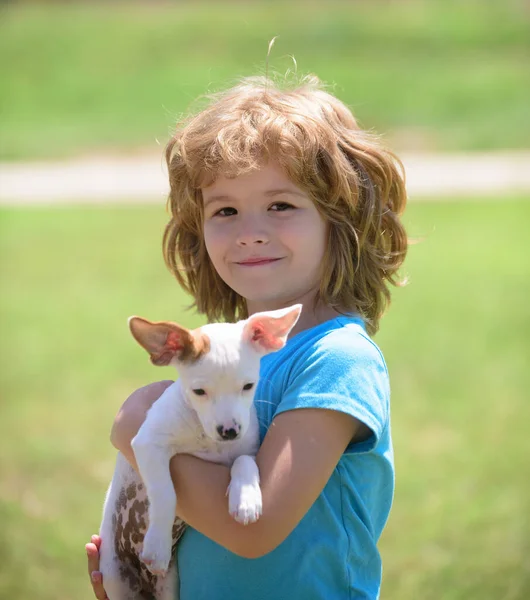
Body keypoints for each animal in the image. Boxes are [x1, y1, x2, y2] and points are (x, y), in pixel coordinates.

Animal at [96, 304, 300, 600]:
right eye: (199, 391)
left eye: (248, 386)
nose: (229, 431)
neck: (206, 437)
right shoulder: (148, 443)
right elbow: (165, 492)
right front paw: (157, 545)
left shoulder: (248, 450)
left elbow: (244, 462)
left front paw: (246, 499)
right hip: (115, 577)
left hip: (169, 588)